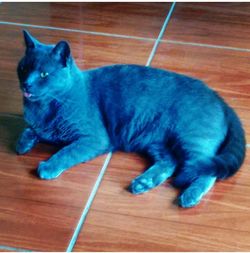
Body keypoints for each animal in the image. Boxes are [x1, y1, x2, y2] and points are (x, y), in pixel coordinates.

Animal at [16, 30, 245, 208]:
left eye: (44, 74)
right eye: (24, 68)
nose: (26, 84)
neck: (45, 107)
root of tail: (220, 99)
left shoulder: (93, 138)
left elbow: (66, 151)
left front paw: (48, 166)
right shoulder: (39, 125)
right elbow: (30, 130)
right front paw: (22, 144)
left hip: (191, 138)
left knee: (206, 169)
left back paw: (189, 196)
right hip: (157, 140)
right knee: (170, 162)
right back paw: (144, 183)